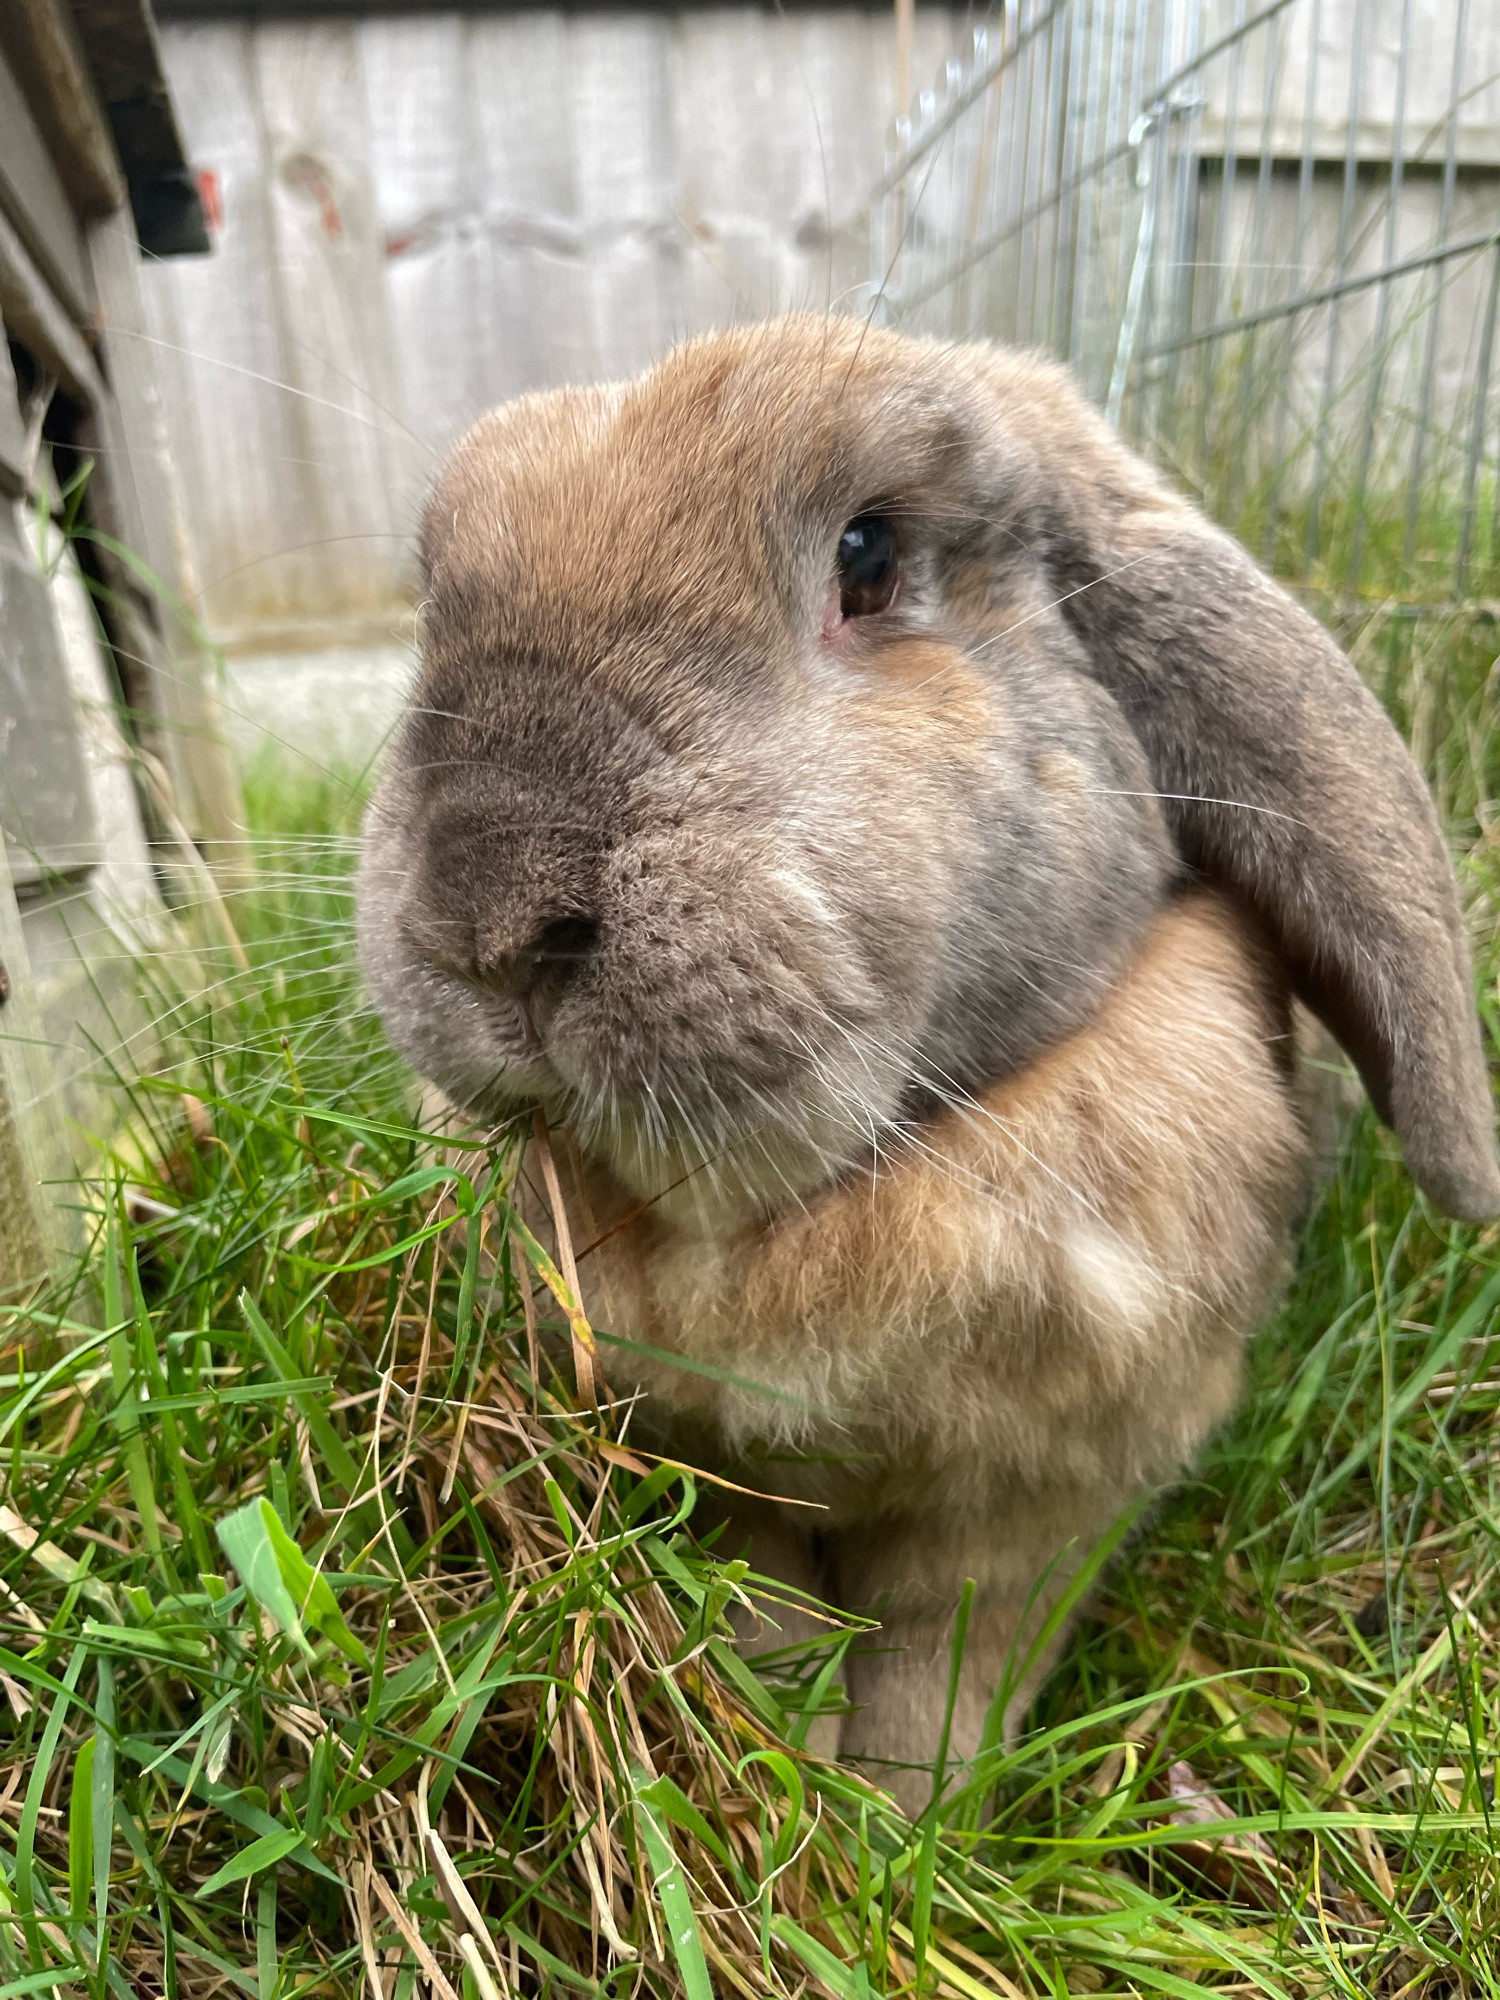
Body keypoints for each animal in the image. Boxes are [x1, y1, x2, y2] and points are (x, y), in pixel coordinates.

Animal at [364, 312, 1500, 1816]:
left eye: (869, 555)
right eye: (435, 592)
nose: (485, 918)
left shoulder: (1037, 1509)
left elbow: (940, 1666)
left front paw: (905, 1813)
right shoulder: (713, 1475)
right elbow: (771, 1619)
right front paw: (793, 1770)